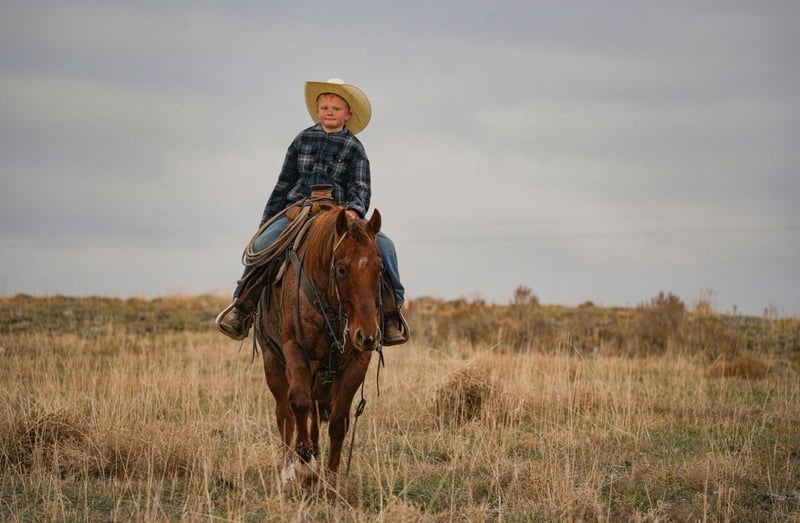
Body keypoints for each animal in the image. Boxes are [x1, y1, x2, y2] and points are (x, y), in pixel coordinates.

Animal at [254, 206, 384, 489]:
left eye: (380, 267)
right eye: (341, 269)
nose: (367, 335)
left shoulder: (358, 361)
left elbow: (338, 421)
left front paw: (332, 478)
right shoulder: (294, 349)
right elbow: (299, 401)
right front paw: (303, 461)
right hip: (273, 361)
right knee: (285, 412)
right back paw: (290, 468)